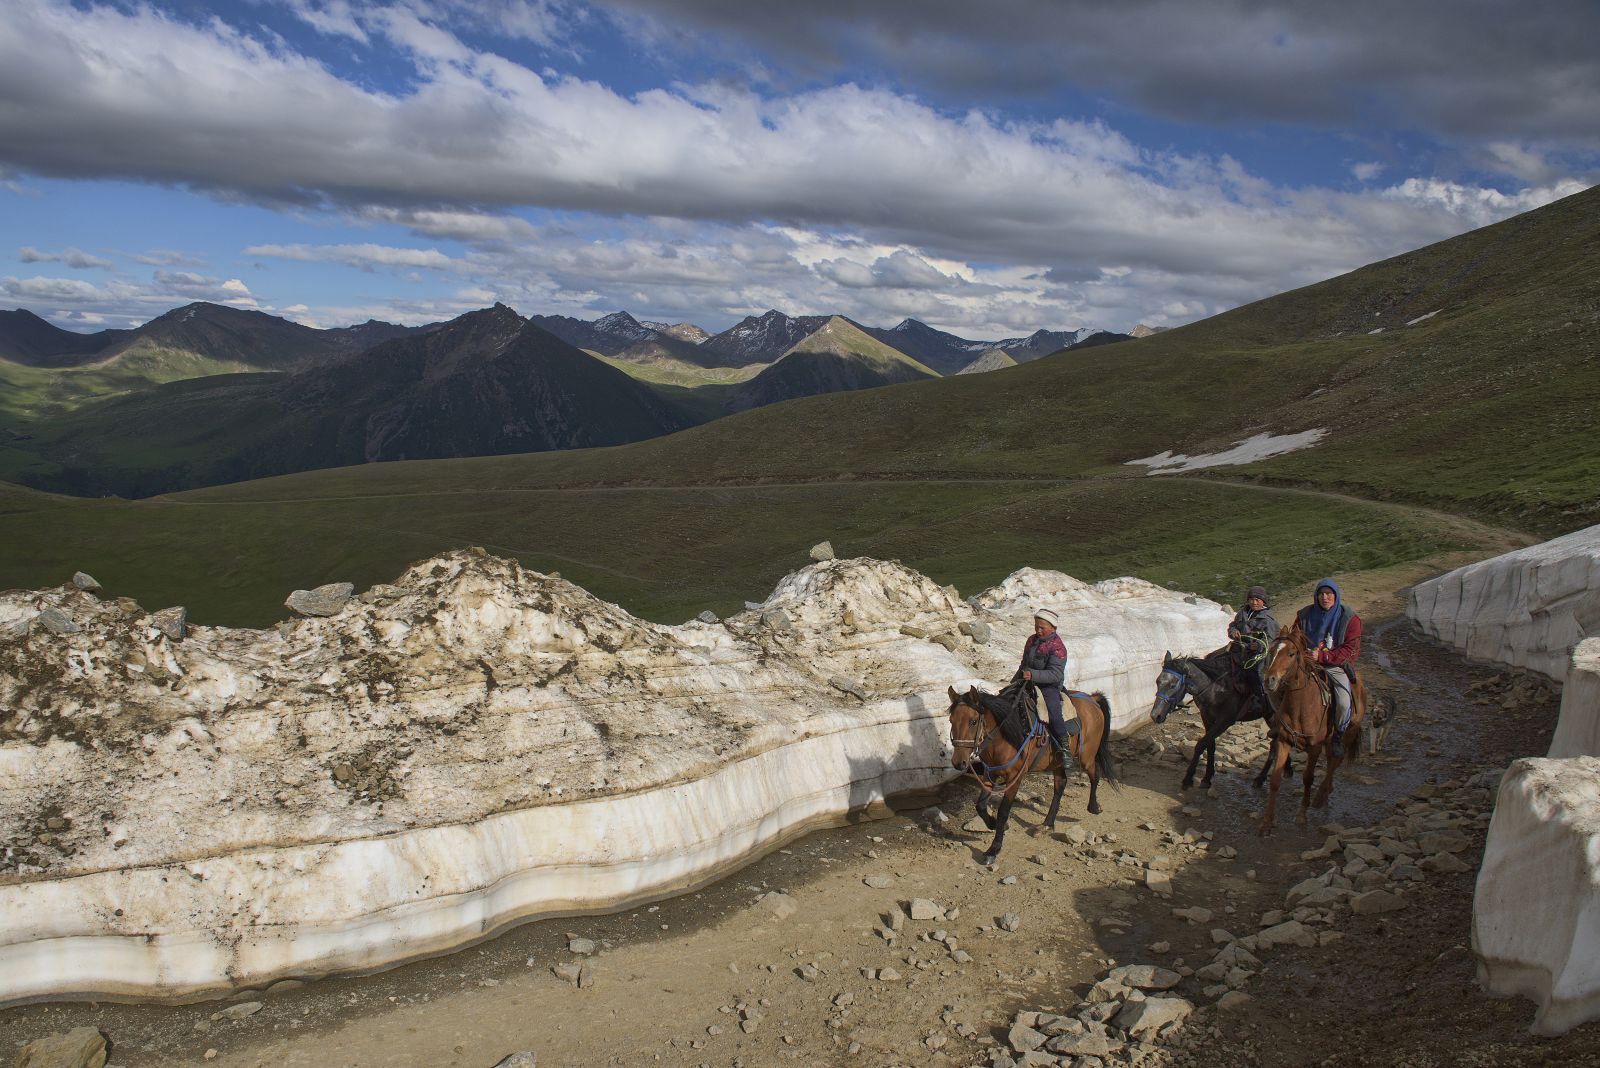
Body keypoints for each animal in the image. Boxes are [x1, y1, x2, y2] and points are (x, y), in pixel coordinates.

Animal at [940, 684, 1120, 869]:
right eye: (951, 721)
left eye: (973, 721)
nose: (959, 762)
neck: (1003, 737)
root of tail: (1092, 699)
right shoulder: (991, 773)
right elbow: (980, 806)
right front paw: (992, 824)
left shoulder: (1015, 778)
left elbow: (1003, 812)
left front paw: (993, 849)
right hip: (1057, 763)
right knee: (1061, 785)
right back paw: (1047, 824)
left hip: (1087, 757)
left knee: (1095, 775)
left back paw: (1094, 807)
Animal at [1254, 620, 1369, 837]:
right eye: (1272, 650)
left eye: (1291, 653)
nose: (1269, 680)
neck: (1302, 705)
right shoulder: (1283, 741)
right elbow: (1275, 780)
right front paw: (1266, 823)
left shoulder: (1314, 748)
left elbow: (1308, 778)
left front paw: (1301, 815)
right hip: (1329, 741)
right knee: (1332, 760)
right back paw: (1326, 793)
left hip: (1346, 735)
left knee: (1335, 761)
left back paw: (1319, 797)